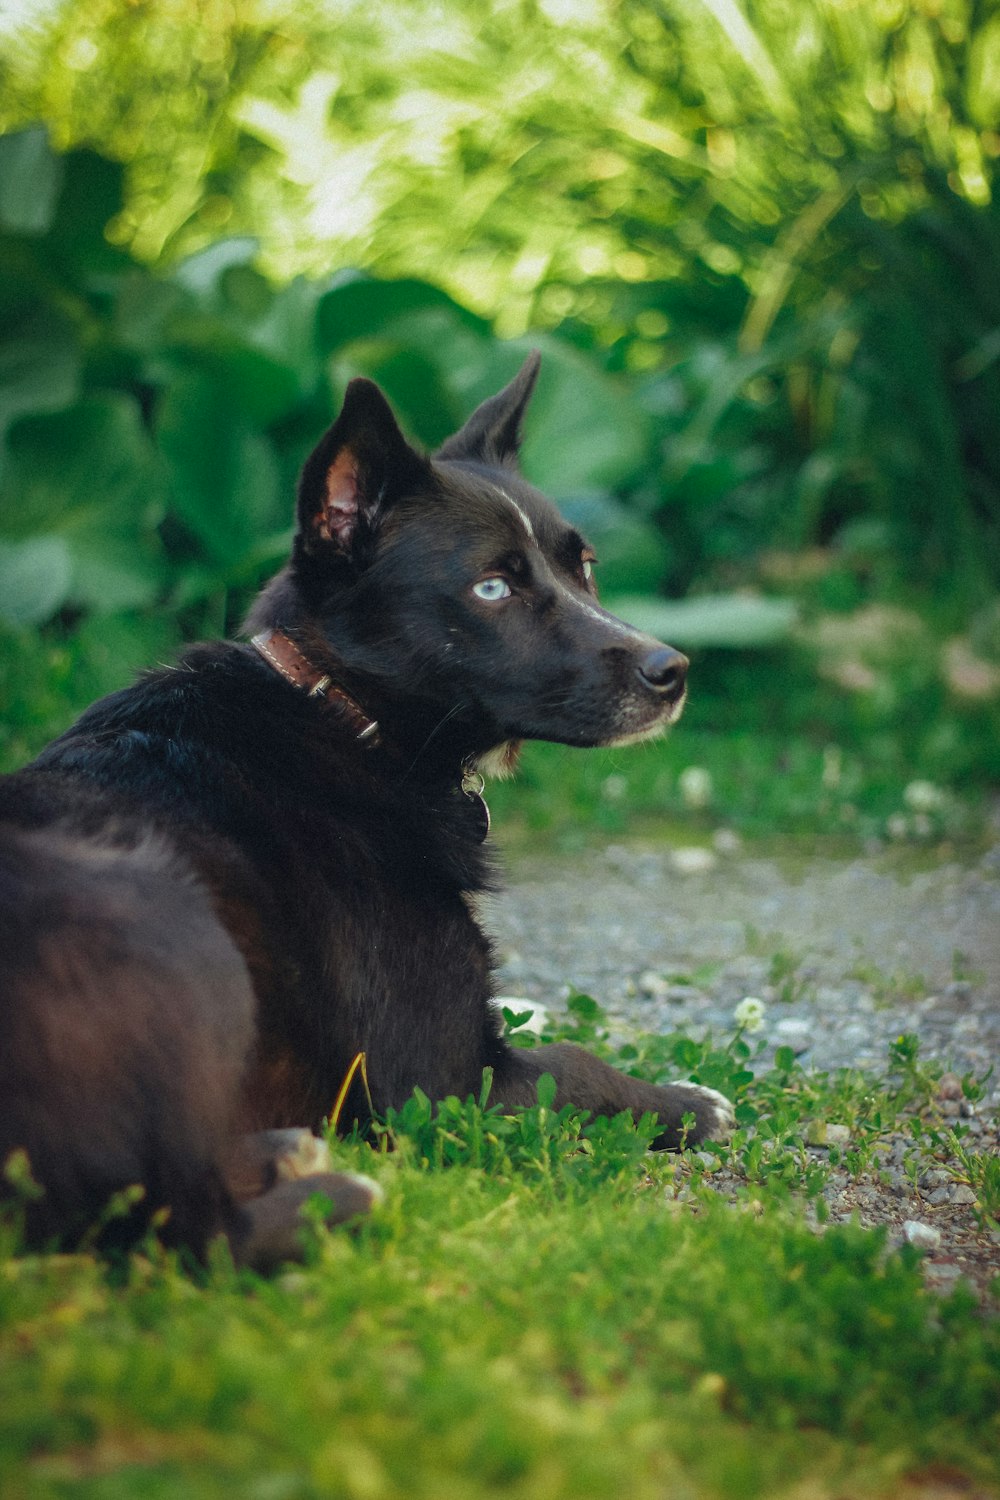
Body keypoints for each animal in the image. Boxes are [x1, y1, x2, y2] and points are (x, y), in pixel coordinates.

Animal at [0, 354, 734, 1266]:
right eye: (492, 586)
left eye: (584, 565)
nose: (673, 671)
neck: (345, 713)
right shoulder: (441, 1087)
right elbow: (575, 1061)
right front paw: (686, 1102)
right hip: (166, 923)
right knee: (182, 1230)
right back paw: (332, 1196)